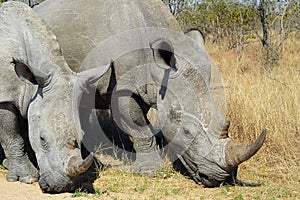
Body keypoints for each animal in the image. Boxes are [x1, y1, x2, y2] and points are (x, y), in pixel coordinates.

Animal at [0, 1, 109, 192]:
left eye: (81, 137)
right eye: (42, 139)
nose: (61, 187)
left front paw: (9, 165)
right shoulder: (5, 95)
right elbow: (11, 133)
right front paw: (26, 178)